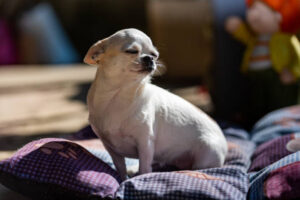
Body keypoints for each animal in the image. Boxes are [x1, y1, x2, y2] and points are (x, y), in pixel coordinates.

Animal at [84, 28, 227, 180]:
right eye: (131, 51)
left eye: (154, 55)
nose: (150, 58)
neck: (119, 96)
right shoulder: (111, 148)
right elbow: (121, 169)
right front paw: (123, 180)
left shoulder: (145, 143)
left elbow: (144, 168)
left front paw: (140, 179)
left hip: (205, 157)